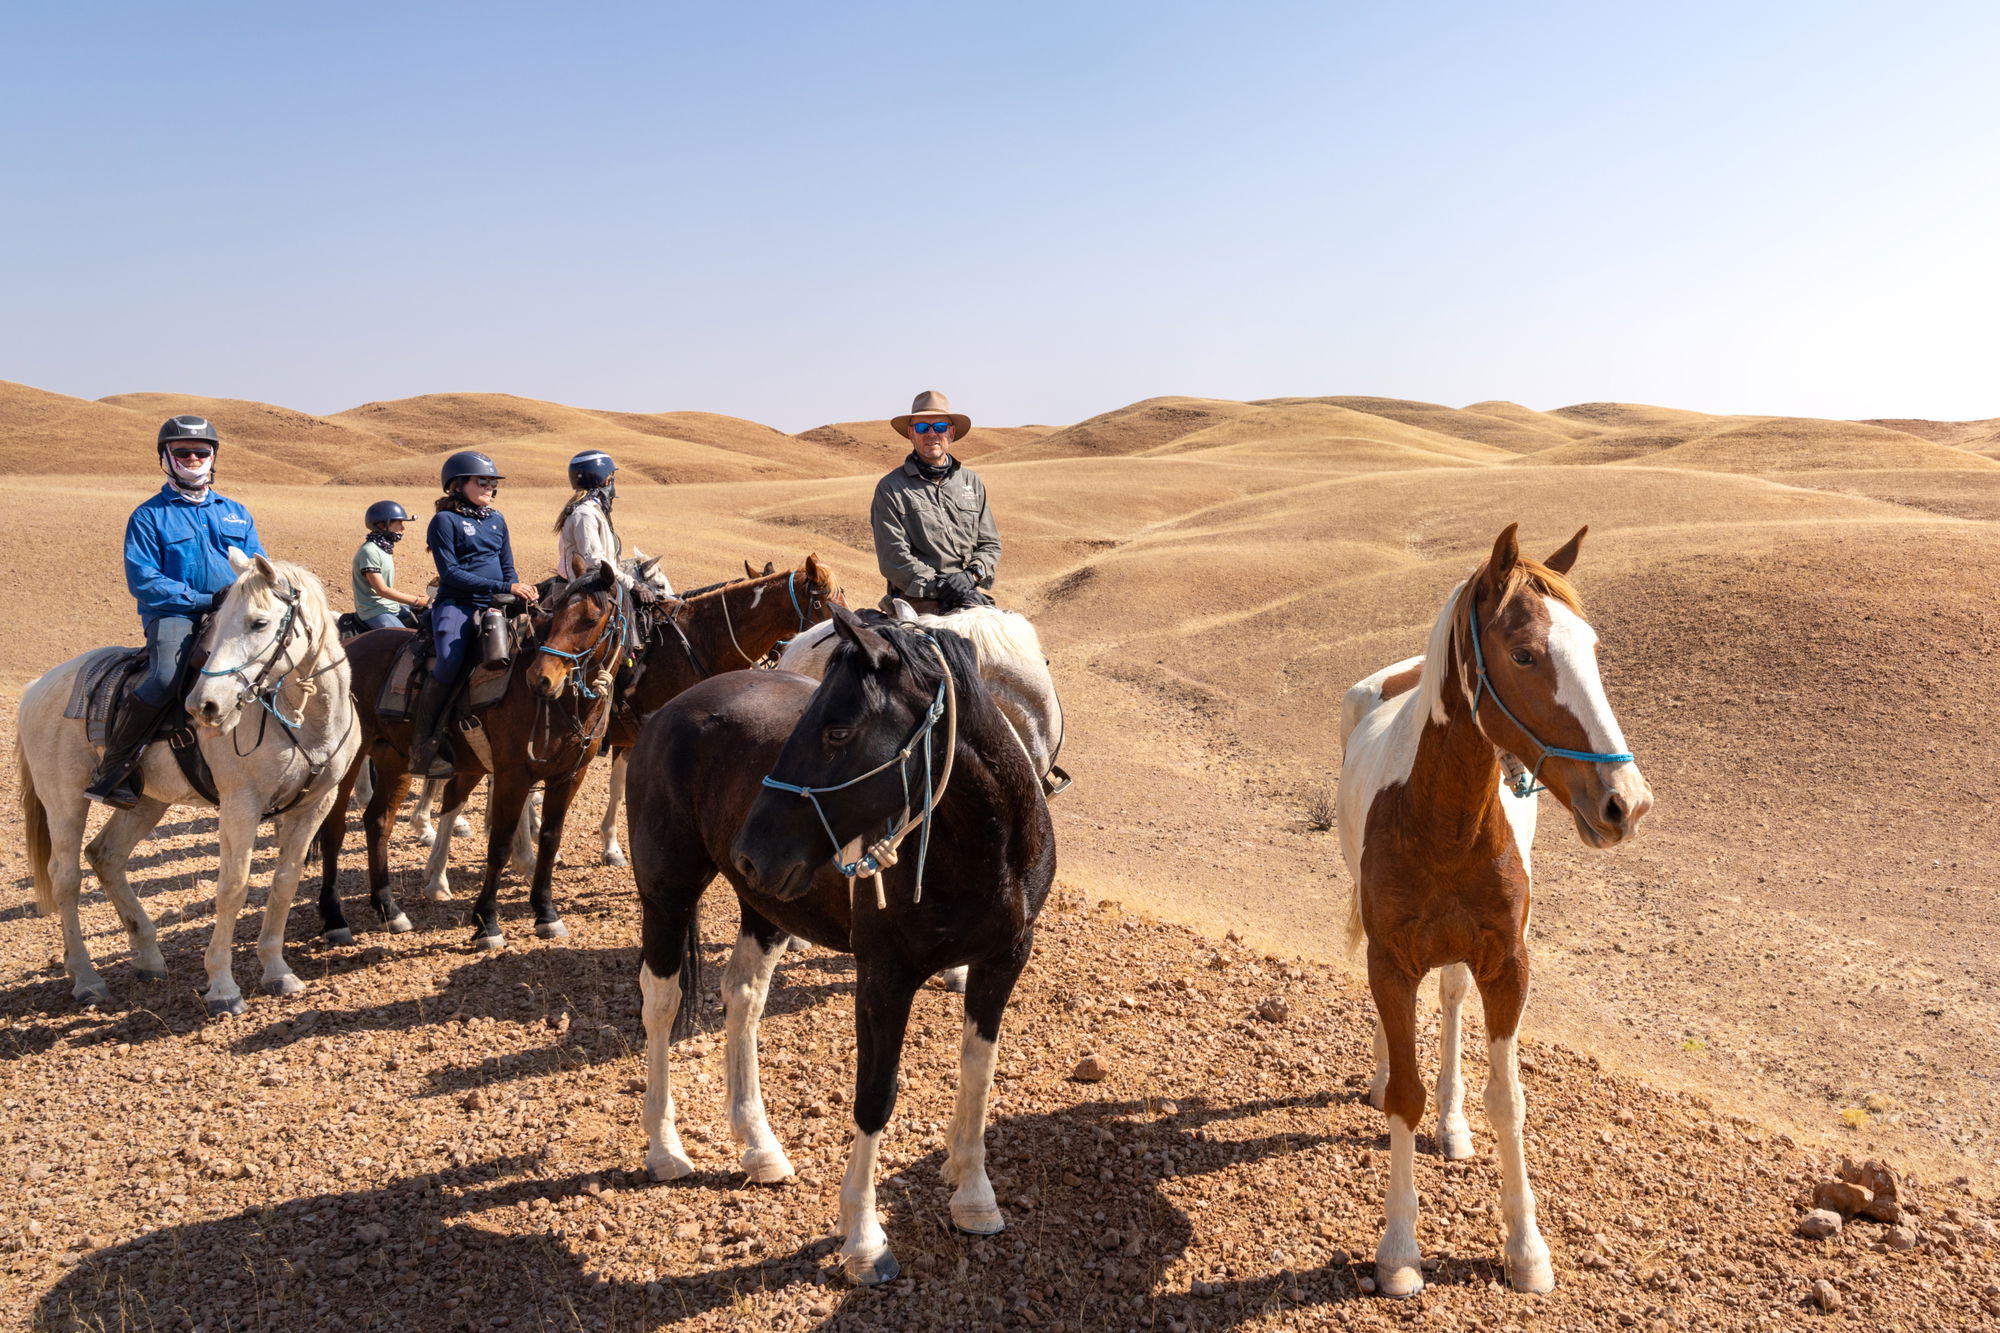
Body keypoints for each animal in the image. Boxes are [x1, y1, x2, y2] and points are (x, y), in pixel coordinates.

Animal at [15, 552, 360, 1015]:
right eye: (218, 623)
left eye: (259, 623)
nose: (204, 706)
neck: (302, 719)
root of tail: (39, 686)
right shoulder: (241, 806)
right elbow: (233, 888)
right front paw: (223, 987)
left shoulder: (315, 805)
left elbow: (285, 882)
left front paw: (277, 971)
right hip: (65, 801)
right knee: (66, 879)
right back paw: (87, 979)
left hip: (145, 802)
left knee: (106, 856)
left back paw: (146, 957)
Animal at [312, 559, 627, 949]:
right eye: (555, 614)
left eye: (591, 618)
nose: (541, 679)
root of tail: (350, 646)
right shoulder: (512, 776)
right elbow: (500, 845)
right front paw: (487, 922)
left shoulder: (568, 776)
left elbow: (550, 841)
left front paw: (546, 913)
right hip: (350, 760)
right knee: (334, 827)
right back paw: (335, 918)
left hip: (395, 760)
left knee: (378, 821)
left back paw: (389, 909)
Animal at [626, 606, 1054, 1285]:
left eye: (837, 731)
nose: (752, 850)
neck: (988, 847)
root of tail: (672, 709)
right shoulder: (884, 977)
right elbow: (875, 1096)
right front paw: (864, 1237)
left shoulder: (1002, 961)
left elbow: (978, 1074)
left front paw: (973, 1195)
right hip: (667, 895)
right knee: (661, 1004)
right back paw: (665, 1148)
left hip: (768, 907)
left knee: (741, 996)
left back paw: (759, 1146)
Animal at [1336, 524, 1655, 1298]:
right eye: (1525, 653)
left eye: (1592, 648)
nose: (1625, 802)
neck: (1441, 818)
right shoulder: (1390, 962)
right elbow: (1406, 1094)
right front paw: (1399, 1249)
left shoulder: (1508, 964)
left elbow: (1509, 1099)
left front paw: (1527, 1247)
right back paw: (1384, 1078)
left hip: (1463, 953)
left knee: (1451, 1001)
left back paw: (1452, 1125)